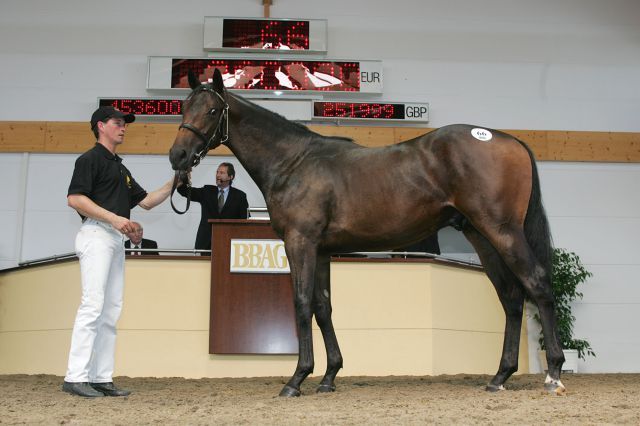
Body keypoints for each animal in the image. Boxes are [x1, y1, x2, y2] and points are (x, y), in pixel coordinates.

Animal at [169, 68, 564, 398]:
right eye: (184, 107)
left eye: (210, 110)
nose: (178, 156)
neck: (293, 162)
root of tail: (509, 140)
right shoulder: (321, 250)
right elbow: (323, 307)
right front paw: (329, 377)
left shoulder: (300, 242)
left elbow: (301, 304)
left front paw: (297, 379)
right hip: (482, 237)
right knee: (511, 298)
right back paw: (500, 376)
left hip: (502, 232)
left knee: (537, 283)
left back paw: (553, 373)